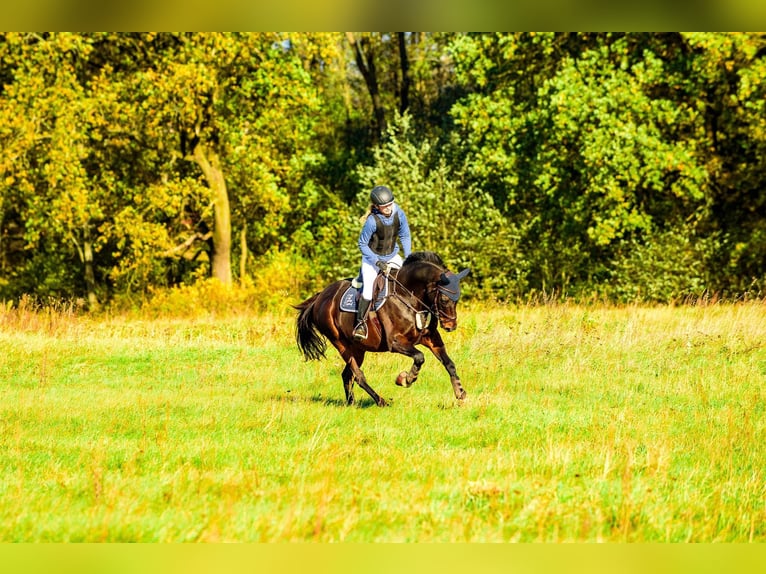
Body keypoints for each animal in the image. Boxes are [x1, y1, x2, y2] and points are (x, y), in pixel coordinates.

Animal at [294, 251, 470, 407]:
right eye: (444, 299)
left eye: (457, 298)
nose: (450, 326)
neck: (408, 296)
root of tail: (321, 296)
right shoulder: (396, 342)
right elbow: (420, 357)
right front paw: (405, 379)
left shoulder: (431, 338)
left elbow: (449, 363)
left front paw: (460, 393)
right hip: (341, 344)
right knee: (358, 375)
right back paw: (380, 401)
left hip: (358, 348)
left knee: (347, 375)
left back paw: (351, 403)